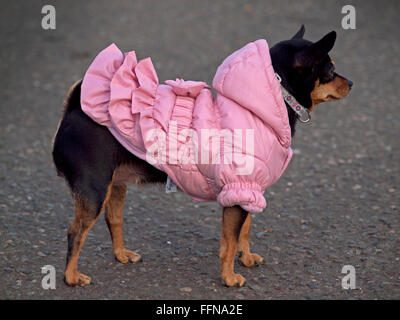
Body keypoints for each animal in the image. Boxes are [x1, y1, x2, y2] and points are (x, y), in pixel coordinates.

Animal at [52, 25, 350, 288]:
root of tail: (74, 110)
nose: (351, 82)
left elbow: (245, 230)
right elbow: (229, 243)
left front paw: (246, 258)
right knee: (75, 233)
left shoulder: (247, 191)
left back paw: (122, 255)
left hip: (115, 186)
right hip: (94, 191)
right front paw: (229, 278)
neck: (266, 105)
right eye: (330, 71)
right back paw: (71, 277)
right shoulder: (238, 192)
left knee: (113, 219)